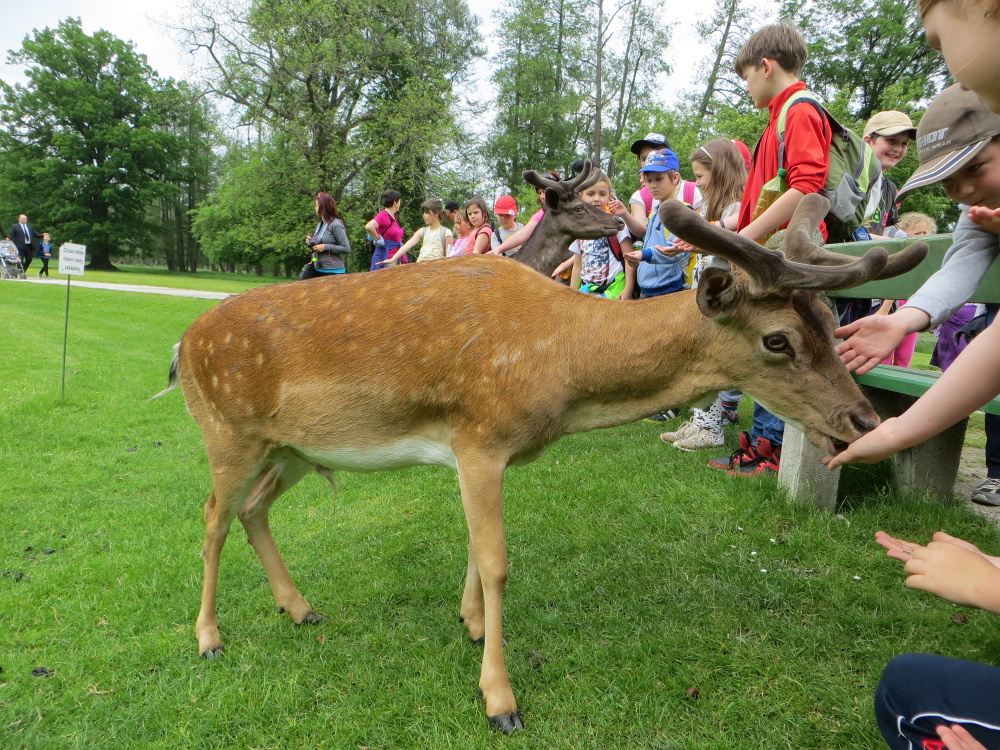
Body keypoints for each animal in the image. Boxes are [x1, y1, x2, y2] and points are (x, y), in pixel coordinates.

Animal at [158, 166, 928, 736]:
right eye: (777, 339)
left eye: (831, 319)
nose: (862, 420)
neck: (562, 368)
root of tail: (180, 347)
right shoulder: (480, 438)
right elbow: (499, 561)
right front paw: (500, 700)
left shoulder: (476, 451)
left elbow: (476, 549)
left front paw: (470, 626)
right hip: (226, 429)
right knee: (211, 518)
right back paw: (208, 637)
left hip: (288, 447)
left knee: (252, 511)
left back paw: (301, 608)